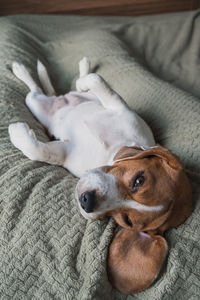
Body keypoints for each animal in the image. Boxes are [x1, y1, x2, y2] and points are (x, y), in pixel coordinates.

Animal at [8, 57, 193, 294]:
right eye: (138, 180)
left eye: (126, 220)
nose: (87, 202)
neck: (106, 153)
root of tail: (59, 98)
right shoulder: (120, 108)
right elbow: (96, 80)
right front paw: (85, 79)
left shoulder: (63, 152)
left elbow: (39, 151)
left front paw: (16, 133)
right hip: (41, 104)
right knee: (57, 88)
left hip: (36, 105)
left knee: (36, 90)